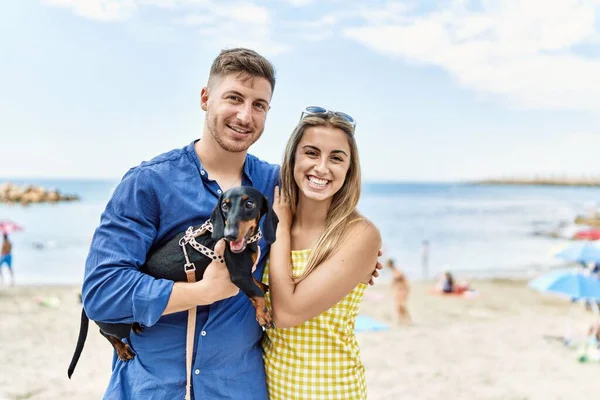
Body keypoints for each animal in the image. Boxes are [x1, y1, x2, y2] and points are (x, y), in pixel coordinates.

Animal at [67, 187, 278, 378]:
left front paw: (261, 286)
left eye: (249, 204)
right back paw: (122, 349)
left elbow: (255, 283)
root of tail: (85, 300)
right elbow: (257, 293)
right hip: (115, 323)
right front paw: (264, 315)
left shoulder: (245, 274)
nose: (229, 235)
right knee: (106, 332)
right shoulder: (238, 276)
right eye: (225, 206)